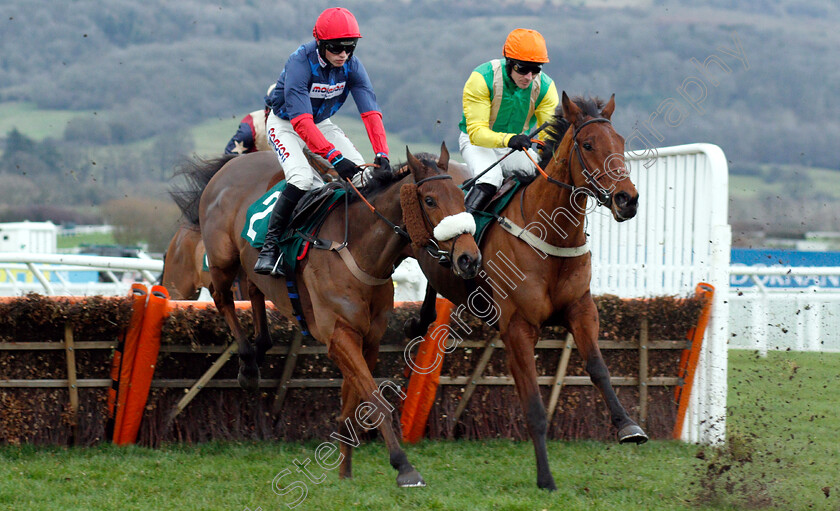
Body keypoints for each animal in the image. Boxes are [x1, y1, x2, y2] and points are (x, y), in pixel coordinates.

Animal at [174, 146, 482, 486]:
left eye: (462, 195)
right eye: (430, 200)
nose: (469, 258)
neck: (358, 252)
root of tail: (231, 165)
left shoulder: (367, 339)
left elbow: (353, 402)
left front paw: (345, 471)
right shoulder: (339, 335)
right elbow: (375, 398)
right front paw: (404, 466)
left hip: (247, 264)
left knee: (254, 290)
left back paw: (260, 346)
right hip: (222, 257)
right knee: (222, 297)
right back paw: (247, 364)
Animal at [410, 93, 648, 492]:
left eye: (621, 143)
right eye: (588, 145)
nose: (627, 199)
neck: (551, 235)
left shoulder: (582, 311)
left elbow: (599, 368)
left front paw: (628, 426)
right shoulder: (518, 328)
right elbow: (534, 404)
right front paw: (545, 478)